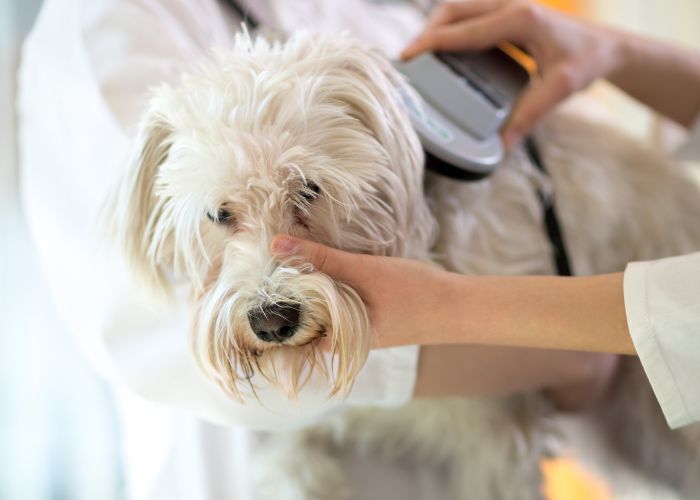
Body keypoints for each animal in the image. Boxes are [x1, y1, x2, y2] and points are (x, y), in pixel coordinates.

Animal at [113, 33, 700, 498]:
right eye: (220, 213)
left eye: (309, 189)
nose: (272, 320)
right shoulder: (295, 431)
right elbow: (288, 464)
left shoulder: (497, 436)